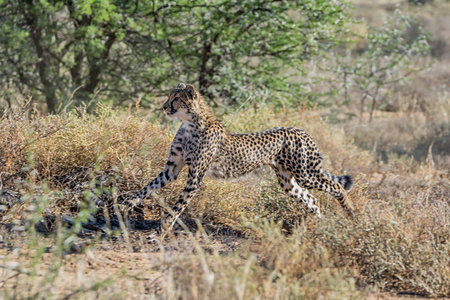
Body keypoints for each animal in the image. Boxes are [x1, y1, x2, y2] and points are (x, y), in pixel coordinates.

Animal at [127, 83, 356, 231]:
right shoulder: (172, 169)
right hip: (287, 181)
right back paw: (317, 226)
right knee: (312, 199)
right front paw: (126, 204)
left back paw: (350, 213)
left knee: (337, 186)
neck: (189, 123)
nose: (164, 107)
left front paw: (163, 229)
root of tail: (300, 130)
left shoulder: (195, 177)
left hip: (305, 173)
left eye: (176, 99)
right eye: (168, 97)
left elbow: (177, 206)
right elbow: (147, 188)